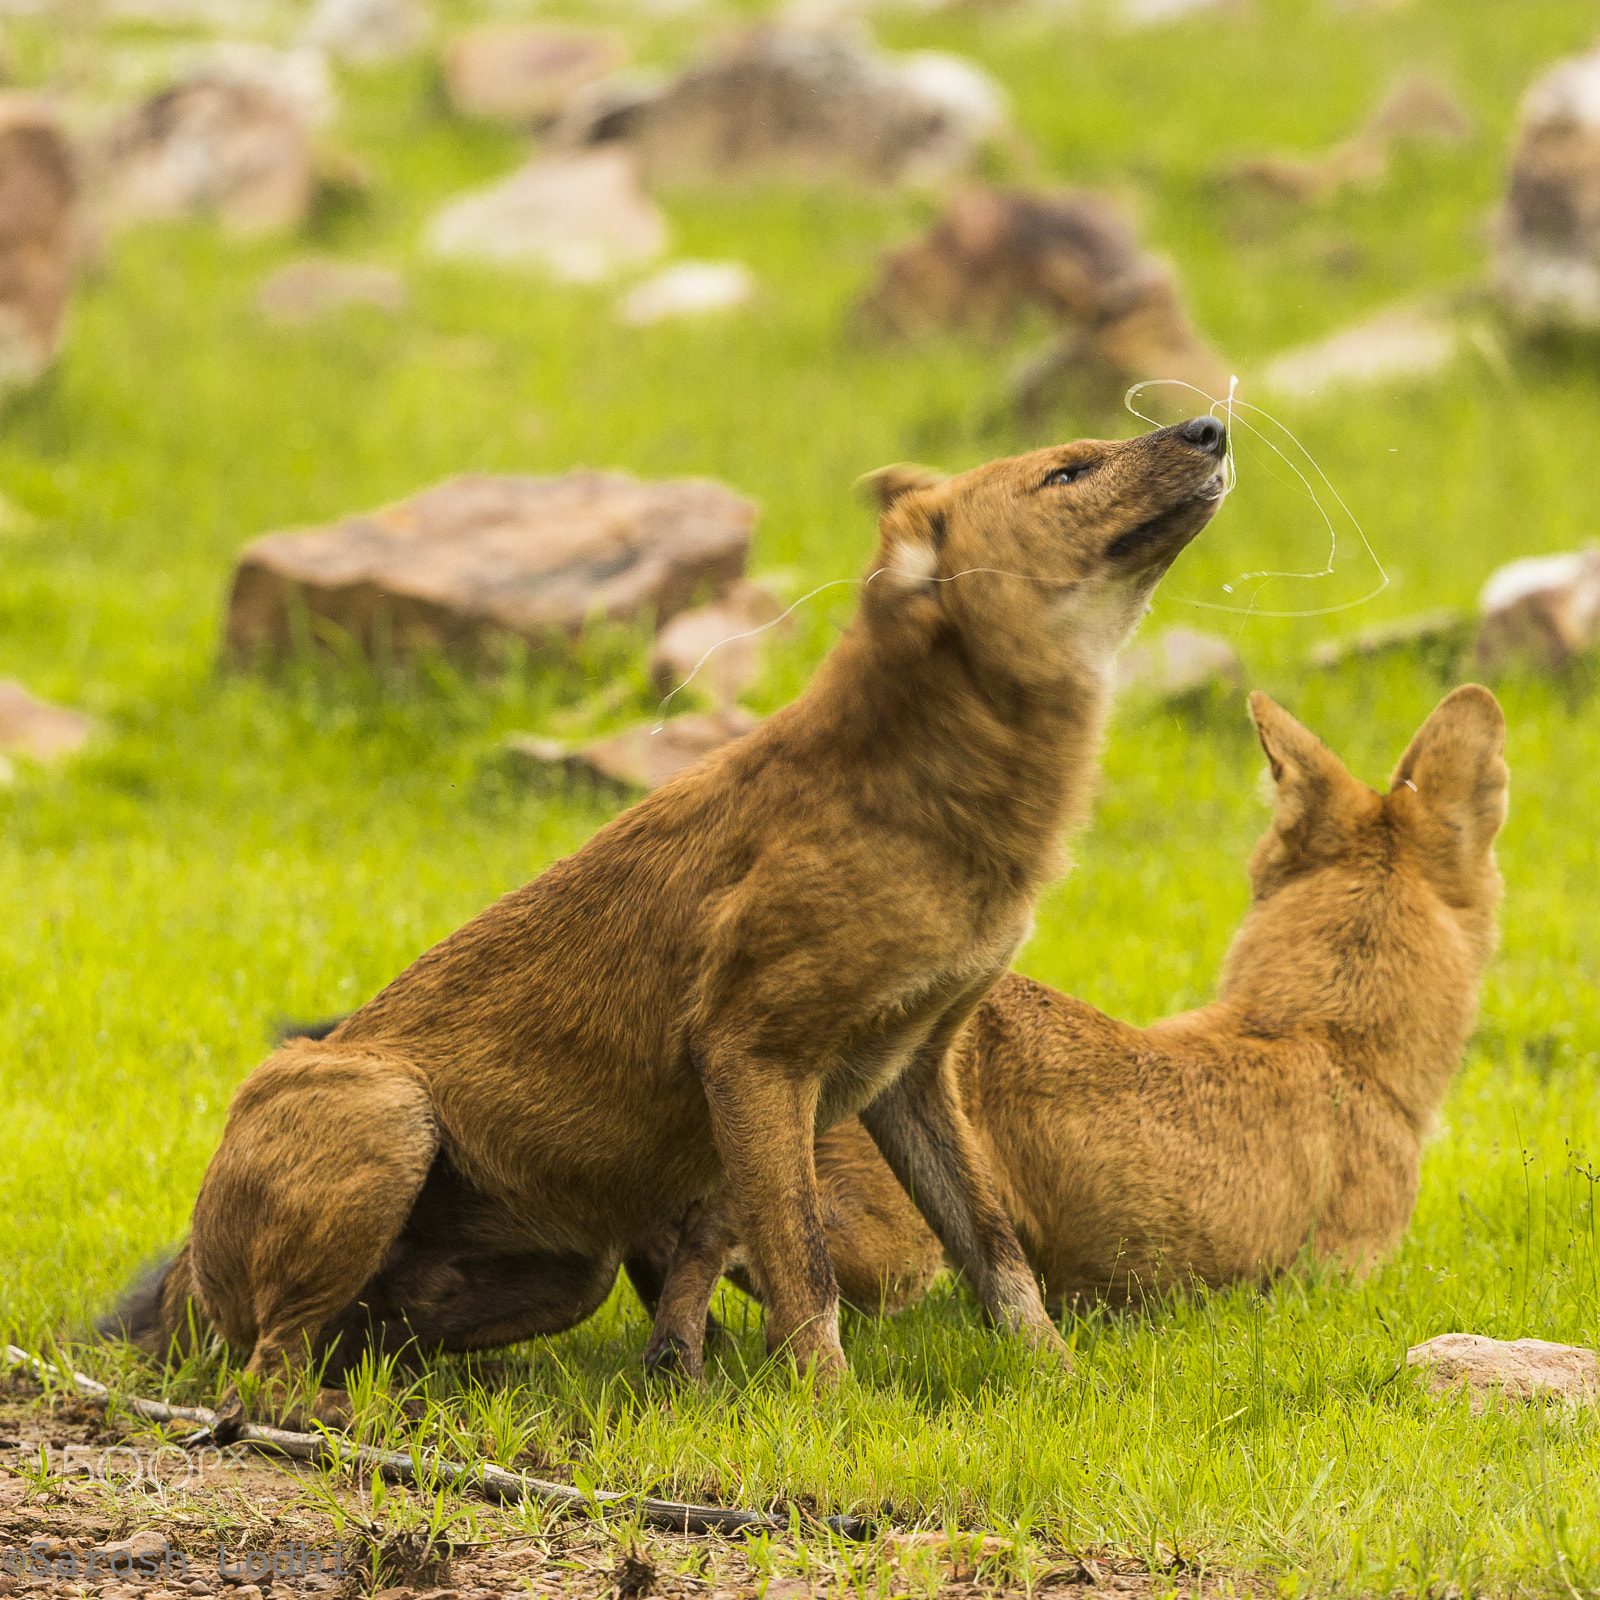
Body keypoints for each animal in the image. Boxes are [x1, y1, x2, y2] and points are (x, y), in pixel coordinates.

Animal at [96, 416, 1222, 1427]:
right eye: (1067, 471)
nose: (1209, 427)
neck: (925, 806)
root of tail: (184, 1282)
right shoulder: (753, 1054)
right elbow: (804, 1264)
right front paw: (834, 1415)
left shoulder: (911, 1067)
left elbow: (991, 1250)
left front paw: (1066, 1390)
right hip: (386, 1114)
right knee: (263, 1375)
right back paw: (382, 1416)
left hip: (571, 1267)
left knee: (365, 1342)